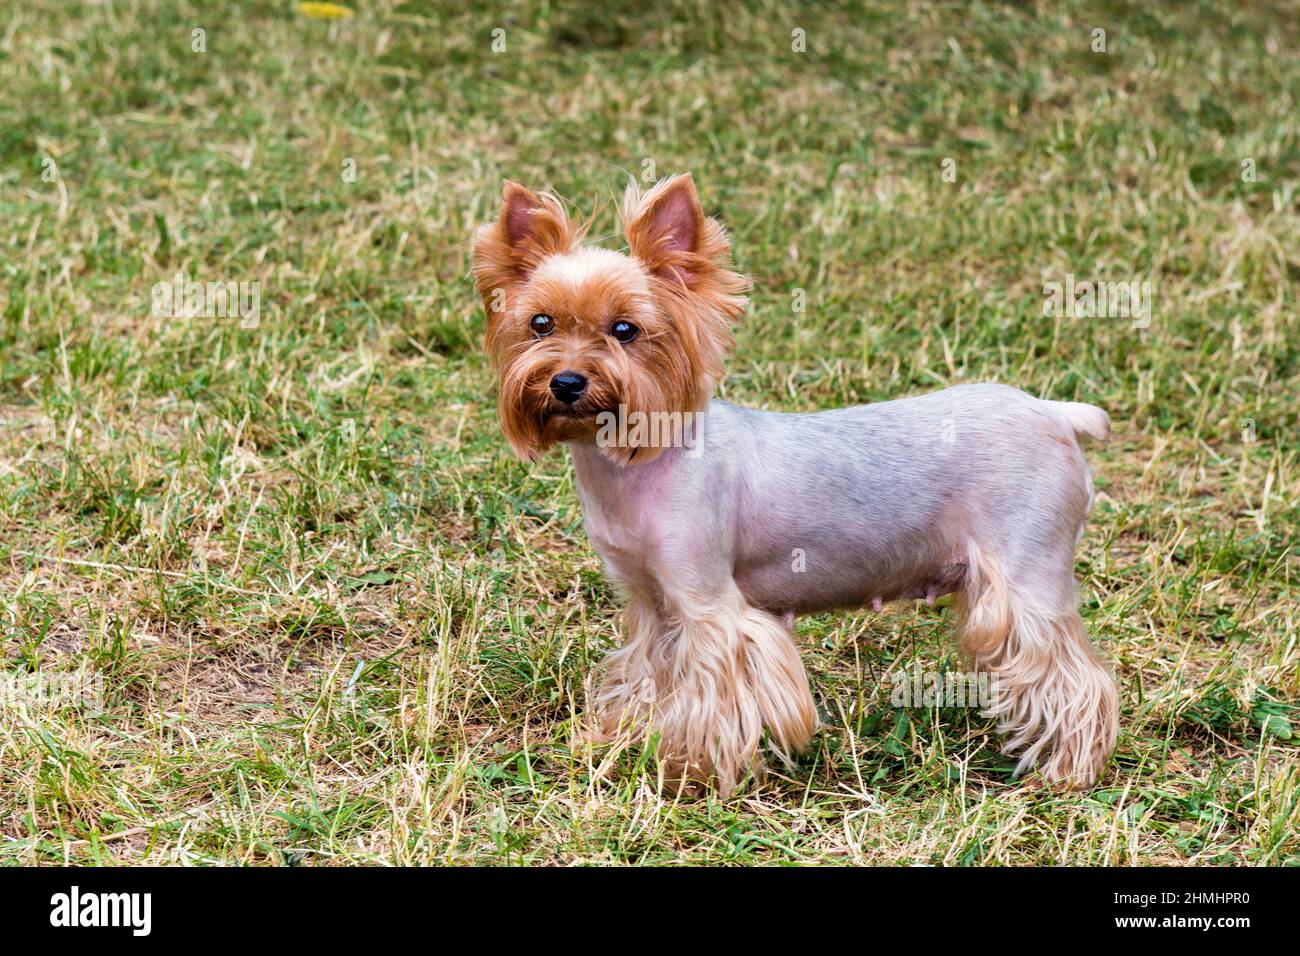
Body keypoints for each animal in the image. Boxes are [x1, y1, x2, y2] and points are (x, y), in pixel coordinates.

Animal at [473, 175, 1123, 796]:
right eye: (539, 324)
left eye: (626, 329)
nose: (567, 382)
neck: (634, 458)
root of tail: (1053, 412)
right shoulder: (649, 602)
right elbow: (643, 674)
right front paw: (616, 739)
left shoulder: (706, 601)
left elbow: (713, 689)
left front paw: (691, 774)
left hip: (1026, 569)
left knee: (1076, 673)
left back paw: (1067, 771)